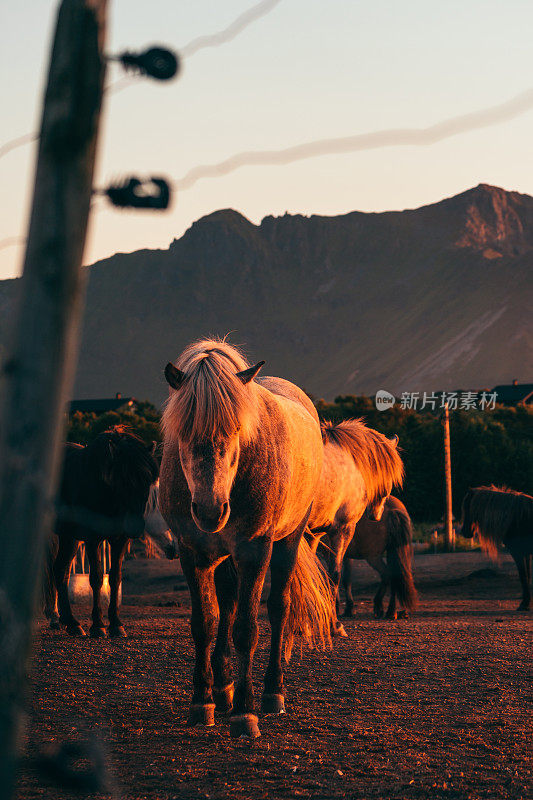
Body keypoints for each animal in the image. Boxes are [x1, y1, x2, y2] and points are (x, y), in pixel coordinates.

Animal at [44, 424, 159, 636]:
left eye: (148, 480)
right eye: (123, 480)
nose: (135, 526)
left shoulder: (119, 539)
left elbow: (114, 577)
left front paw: (116, 624)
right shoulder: (92, 538)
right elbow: (96, 578)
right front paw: (98, 625)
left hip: (69, 537)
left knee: (60, 569)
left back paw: (71, 623)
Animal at [158, 336, 334, 736]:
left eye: (237, 430)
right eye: (183, 432)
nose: (210, 511)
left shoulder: (254, 551)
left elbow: (246, 628)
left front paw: (244, 712)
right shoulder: (192, 552)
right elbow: (205, 623)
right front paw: (202, 702)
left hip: (286, 542)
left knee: (279, 608)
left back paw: (272, 694)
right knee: (226, 604)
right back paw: (223, 689)